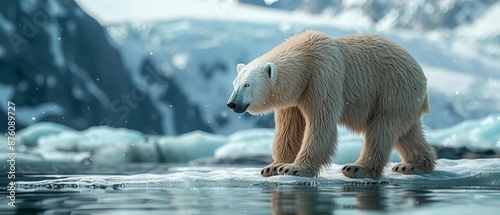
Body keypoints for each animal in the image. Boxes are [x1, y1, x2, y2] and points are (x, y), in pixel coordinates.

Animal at [226, 29, 434, 179]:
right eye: (235, 83)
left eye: (247, 84)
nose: (232, 103)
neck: (305, 57)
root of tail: (420, 71)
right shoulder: (295, 96)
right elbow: (289, 129)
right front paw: (272, 167)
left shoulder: (323, 76)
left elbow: (321, 123)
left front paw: (294, 169)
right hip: (403, 96)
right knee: (407, 132)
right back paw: (412, 165)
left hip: (392, 87)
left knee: (382, 127)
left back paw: (357, 168)